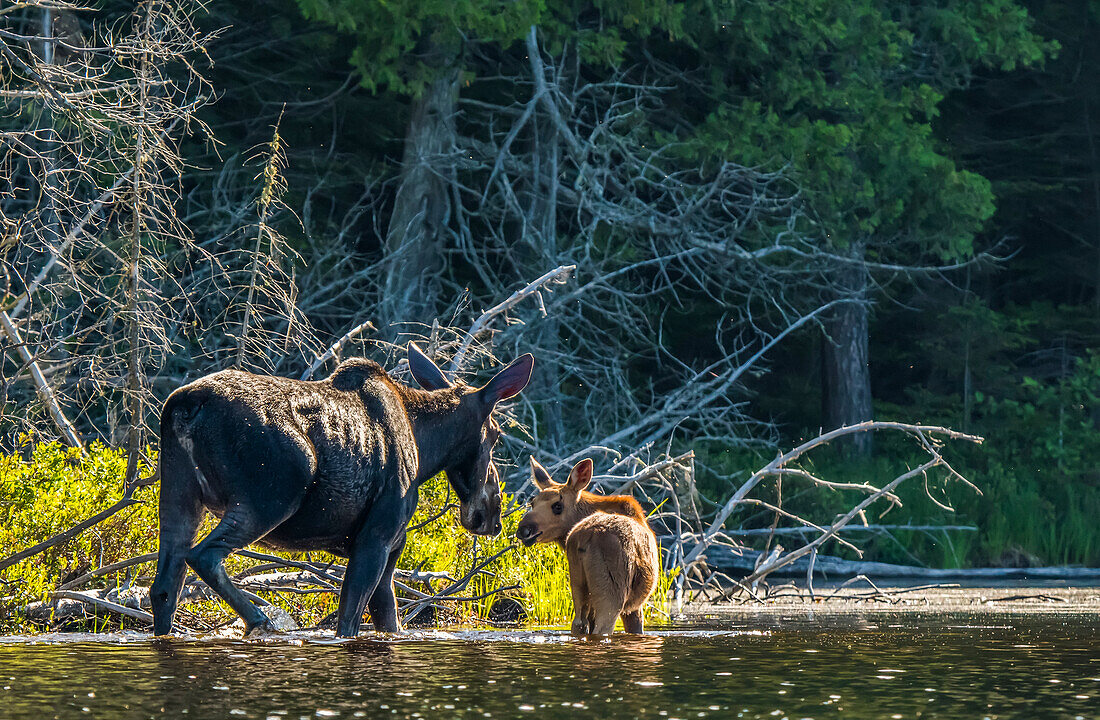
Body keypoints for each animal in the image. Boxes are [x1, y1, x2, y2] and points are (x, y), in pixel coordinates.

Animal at [151, 342, 536, 637]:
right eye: (496, 435)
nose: (492, 516)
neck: (426, 448)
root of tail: (185, 405)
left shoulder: (390, 549)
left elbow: (388, 619)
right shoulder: (376, 538)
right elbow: (349, 621)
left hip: (179, 493)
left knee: (165, 586)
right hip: (272, 496)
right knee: (204, 555)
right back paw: (261, 620)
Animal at [512, 459, 655, 633]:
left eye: (557, 505)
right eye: (533, 503)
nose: (524, 529)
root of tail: (586, 537)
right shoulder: (634, 607)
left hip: (578, 587)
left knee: (578, 624)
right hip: (612, 596)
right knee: (602, 629)